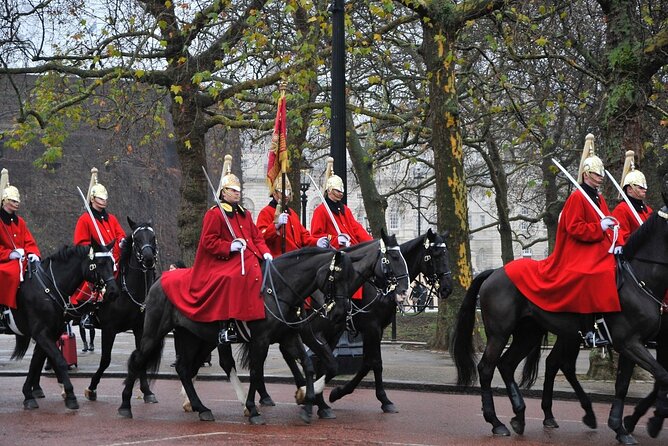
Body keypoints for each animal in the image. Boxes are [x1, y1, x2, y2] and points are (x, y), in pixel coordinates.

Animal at [7, 240, 118, 412]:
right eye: (99, 263)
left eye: (112, 263)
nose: (113, 292)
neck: (48, 287)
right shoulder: (41, 333)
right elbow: (59, 360)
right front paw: (70, 395)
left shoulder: (49, 333)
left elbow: (36, 362)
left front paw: (29, 394)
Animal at [81, 218, 158, 402]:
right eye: (137, 239)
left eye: (152, 237)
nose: (148, 259)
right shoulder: (109, 329)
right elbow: (105, 360)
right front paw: (91, 388)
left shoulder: (139, 329)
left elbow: (140, 358)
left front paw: (147, 391)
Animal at [452, 207, 668, 444]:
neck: (639, 281)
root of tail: (495, 271)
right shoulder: (629, 343)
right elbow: (662, 376)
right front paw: (651, 421)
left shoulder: (633, 343)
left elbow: (624, 385)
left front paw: (623, 427)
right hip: (500, 334)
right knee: (487, 368)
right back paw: (497, 422)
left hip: (530, 333)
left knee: (512, 364)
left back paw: (521, 415)